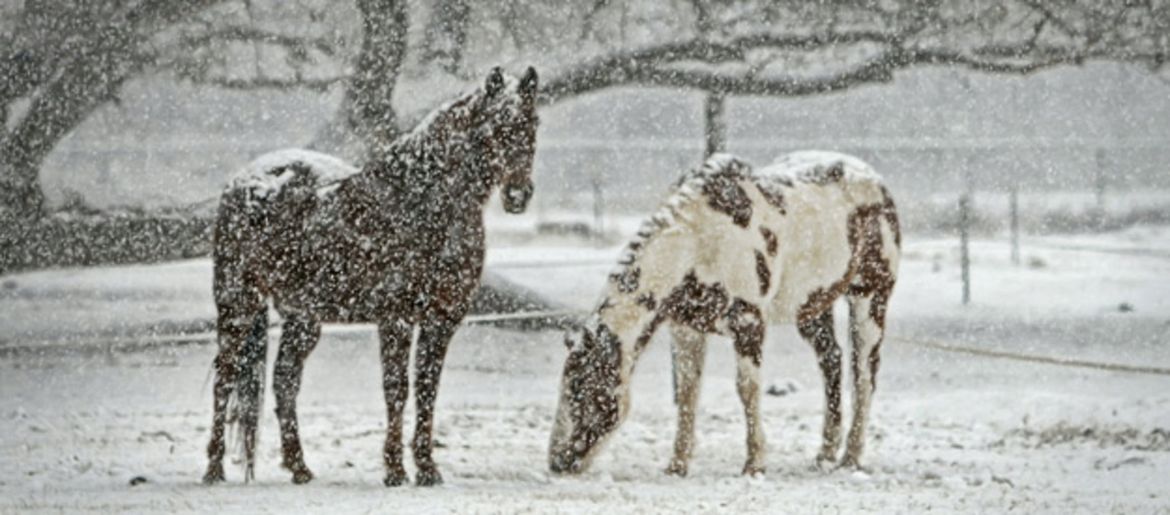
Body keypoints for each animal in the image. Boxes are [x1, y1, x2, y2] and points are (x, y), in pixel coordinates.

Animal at [203, 66, 540, 484]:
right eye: (494, 127)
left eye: (532, 122)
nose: (518, 195)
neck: (423, 203)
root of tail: (244, 181)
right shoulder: (396, 318)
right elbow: (397, 389)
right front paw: (395, 469)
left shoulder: (441, 320)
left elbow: (427, 389)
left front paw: (427, 468)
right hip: (238, 303)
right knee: (225, 377)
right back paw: (214, 468)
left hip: (302, 318)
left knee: (284, 381)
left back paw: (300, 467)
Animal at [549, 150, 903, 477]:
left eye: (583, 390)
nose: (557, 462)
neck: (699, 241)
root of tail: (876, 181)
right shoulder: (687, 328)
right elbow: (688, 392)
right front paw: (677, 465)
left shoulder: (748, 323)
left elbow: (747, 389)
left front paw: (754, 464)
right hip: (812, 307)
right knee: (832, 361)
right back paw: (825, 455)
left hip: (870, 297)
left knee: (864, 374)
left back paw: (851, 458)